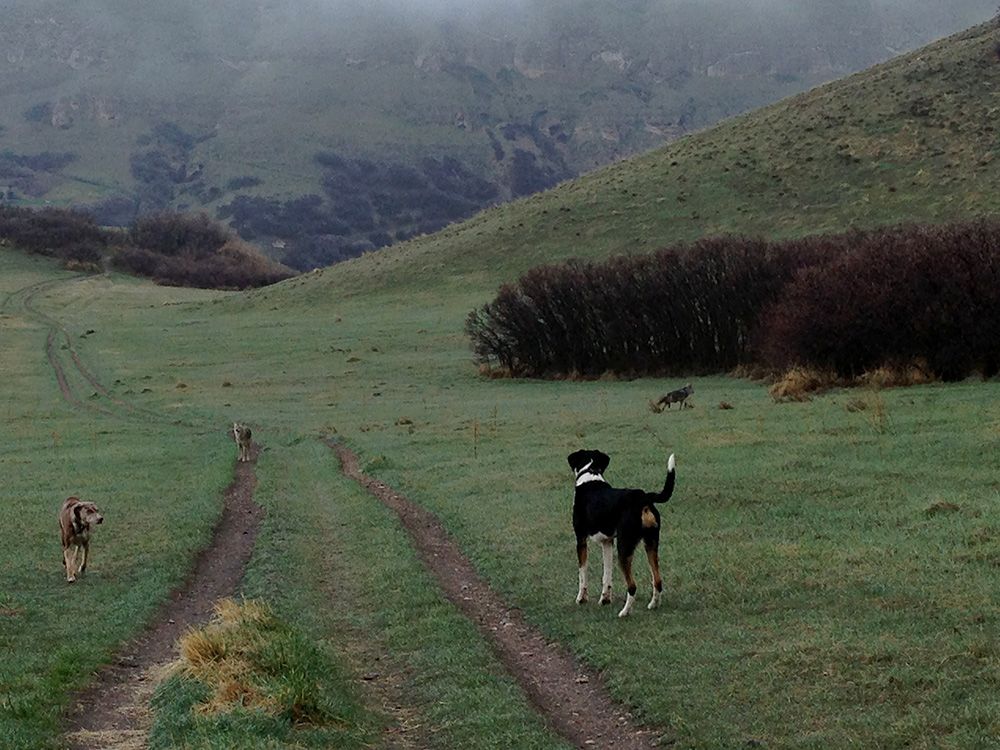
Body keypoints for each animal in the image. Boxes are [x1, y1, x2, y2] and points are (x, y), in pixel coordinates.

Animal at [568, 450, 676, 620]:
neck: (590, 472)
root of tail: (642, 497)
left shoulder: (581, 539)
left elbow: (582, 573)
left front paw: (581, 599)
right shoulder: (607, 542)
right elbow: (606, 575)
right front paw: (605, 599)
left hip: (624, 548)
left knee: (632, 586)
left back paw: (625, 612)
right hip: (651, 544)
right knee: (657, 580)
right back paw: (653, 605)